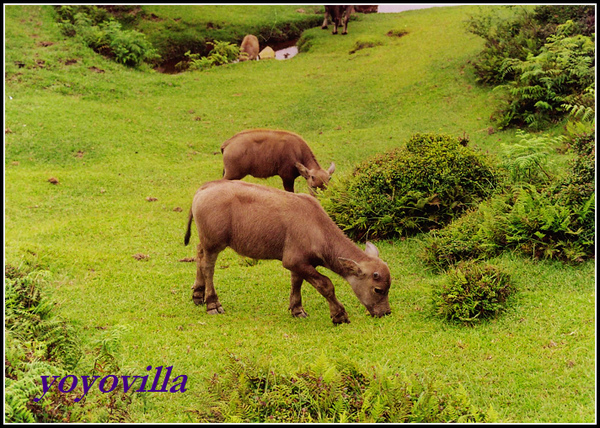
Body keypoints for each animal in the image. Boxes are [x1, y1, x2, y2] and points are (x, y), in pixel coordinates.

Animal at [183, 180, 392, 324]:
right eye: (378, 289)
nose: (386, 312)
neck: (317, 227)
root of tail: (203, 189)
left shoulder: (299, 263)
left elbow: (296, 282)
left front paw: (297, 309)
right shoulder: (294, 261)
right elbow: (326, 284)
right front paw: (339, 315)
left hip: (205, 241)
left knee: (199, 255)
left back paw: (198, 294)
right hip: (214, 243)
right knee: (208, 266)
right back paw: (212, 303)